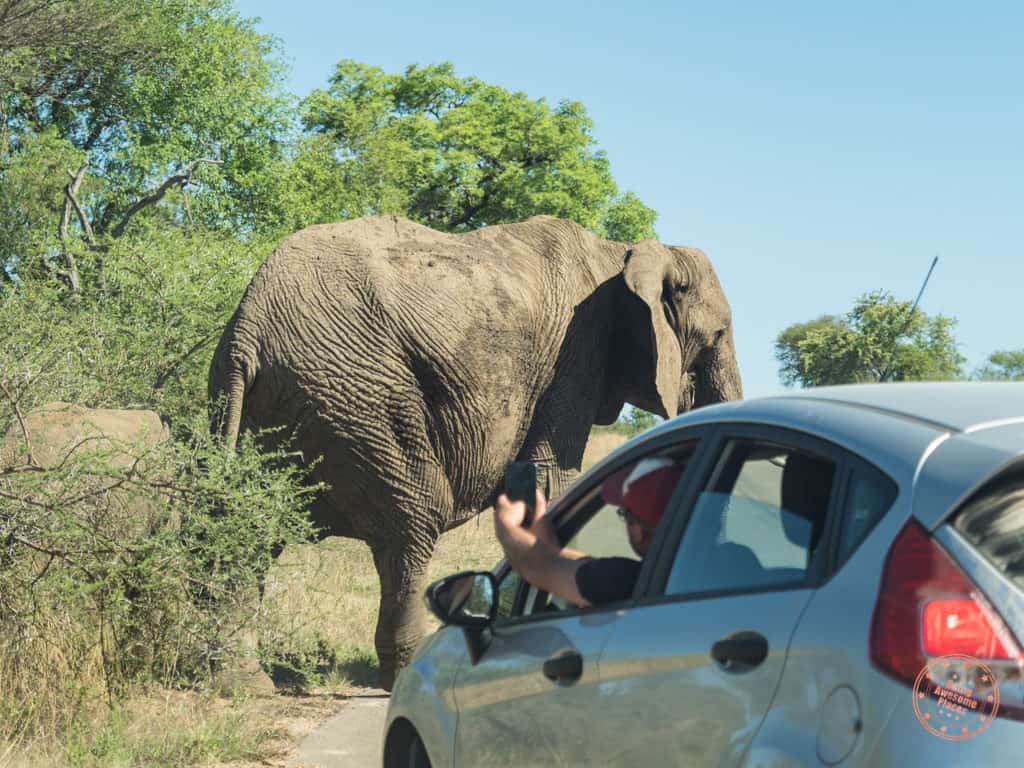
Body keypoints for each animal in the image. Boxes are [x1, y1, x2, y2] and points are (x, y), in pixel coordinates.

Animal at [208, 214, 742, 689]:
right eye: (717, 336)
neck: (623, 253)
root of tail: (247, 330)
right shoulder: (579, 351)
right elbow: (551, 477)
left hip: (261, 402)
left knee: (252, 529)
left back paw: (244, 683)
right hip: (361, 396)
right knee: (412, 521)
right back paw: (405, 672)